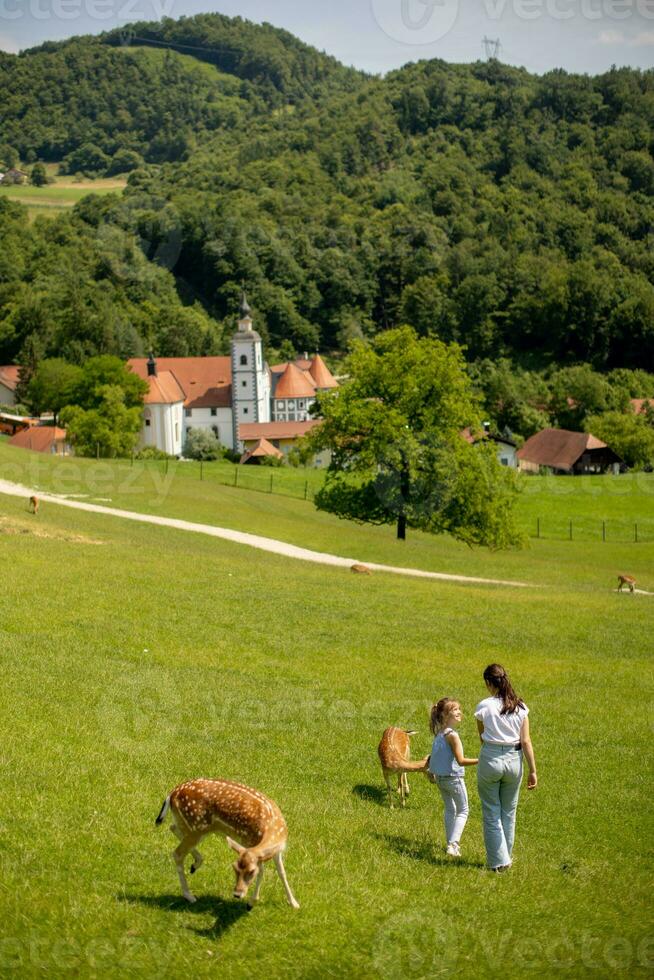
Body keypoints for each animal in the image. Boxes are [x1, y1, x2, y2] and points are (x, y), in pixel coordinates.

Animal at [158, 776, 302, 908]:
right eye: (234, 867)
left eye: (251, 871)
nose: (237, 894)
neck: (273, 829)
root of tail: (172, 793)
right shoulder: (249, 842)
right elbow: (262, 871)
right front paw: (251, 902)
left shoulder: (277, 850)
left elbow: (282, 872)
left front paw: (294, 903)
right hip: (196, 827)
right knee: (178, 853)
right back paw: (189, 895)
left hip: (192, 826)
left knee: (172, 828)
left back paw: (195, 864)